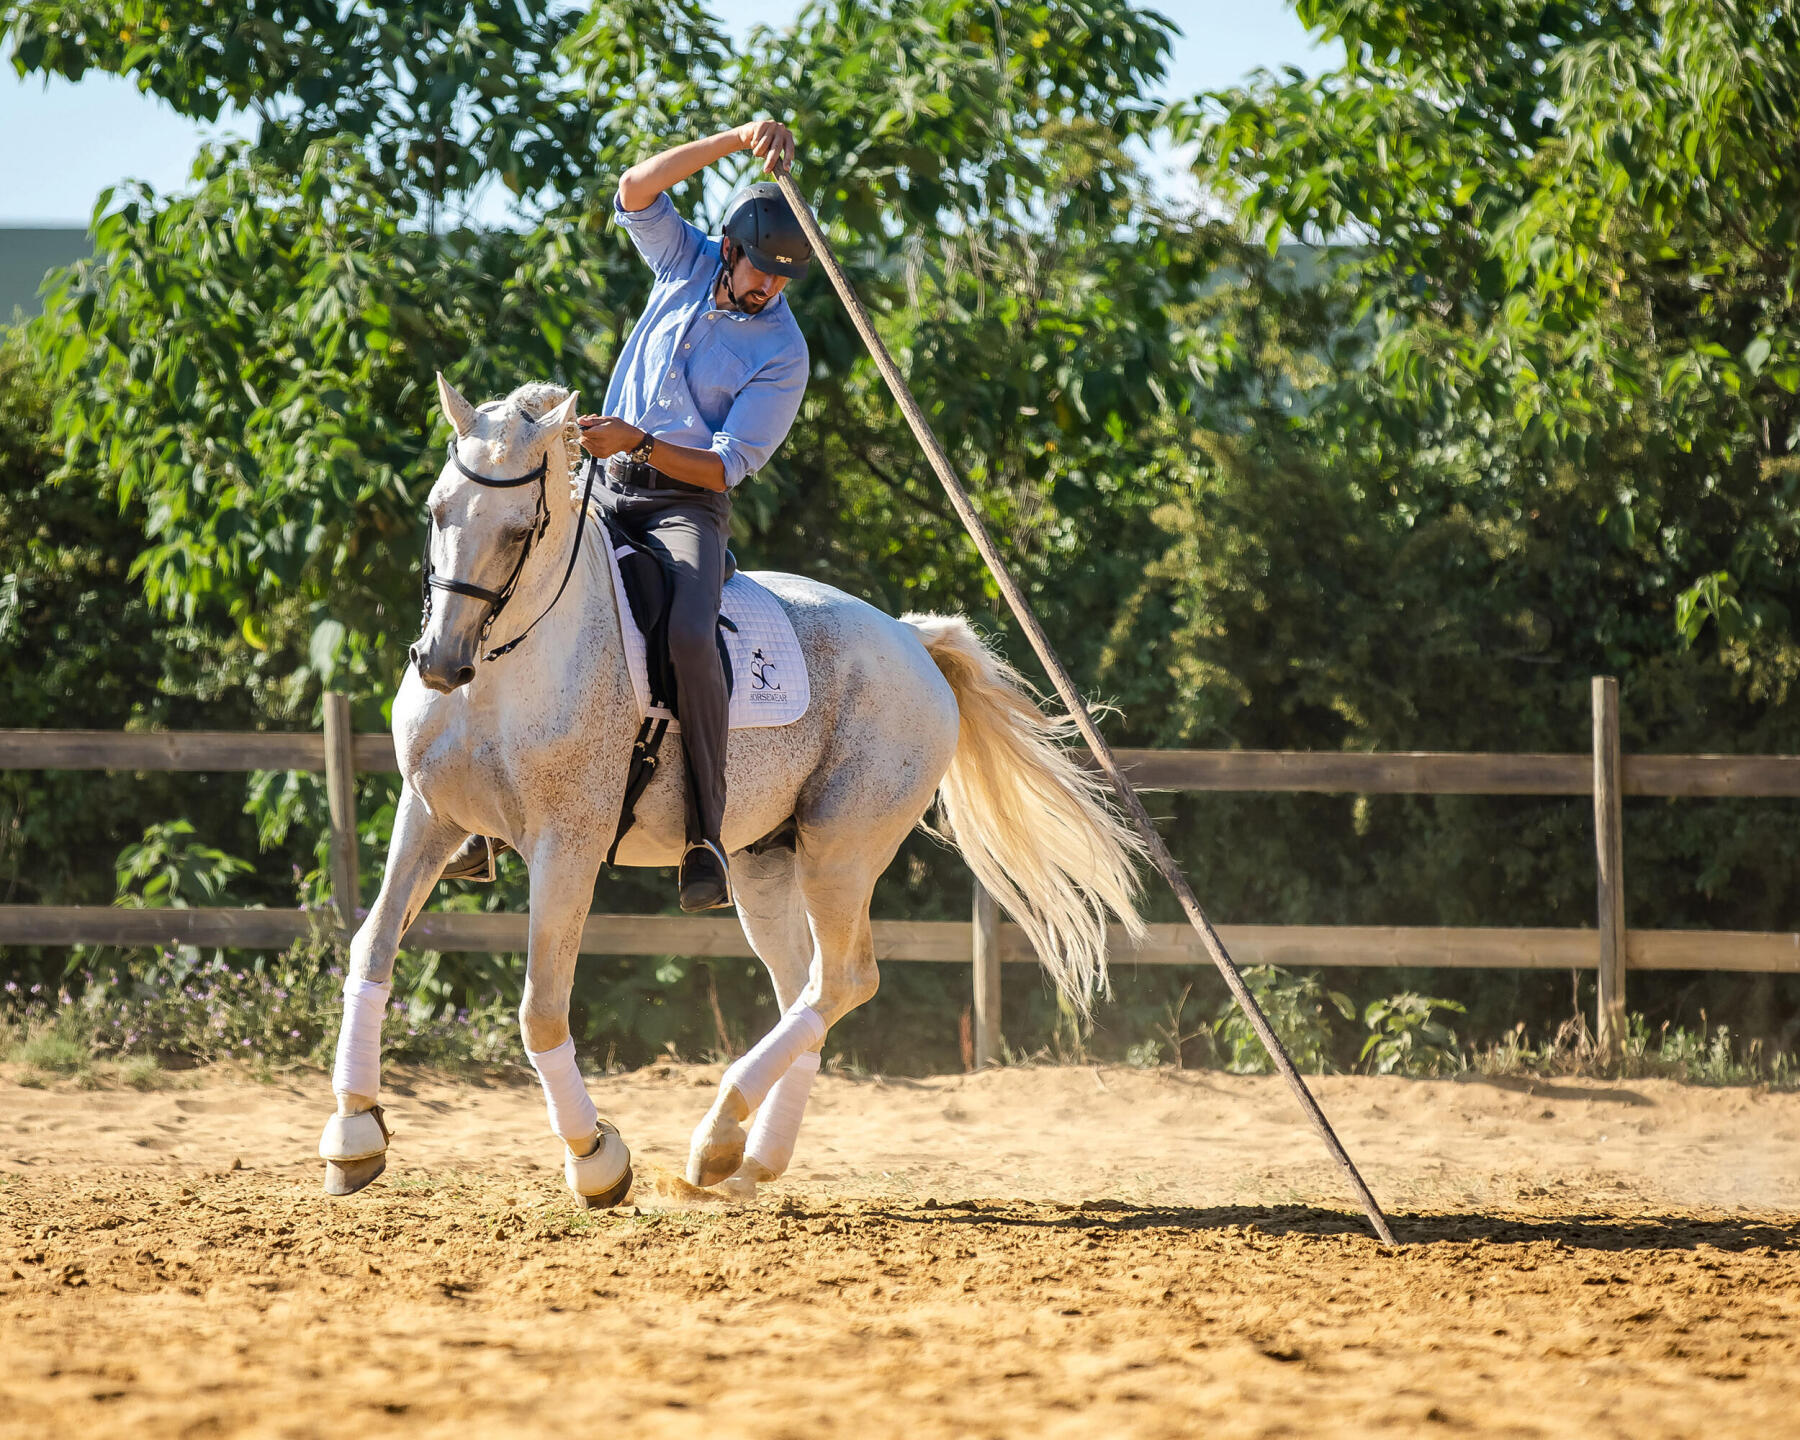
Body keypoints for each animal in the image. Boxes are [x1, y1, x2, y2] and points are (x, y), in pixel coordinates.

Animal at [318, 374, 1144, 1202]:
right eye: (437, 510)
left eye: (520, 531)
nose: (439, 663)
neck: (502, 671)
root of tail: (912, 638)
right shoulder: (428, 816)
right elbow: (372, 948)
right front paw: (354, 1131)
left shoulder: (567, 845)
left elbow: (542, 1011)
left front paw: (596, 1158)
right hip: (762, 863)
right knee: (801, 985)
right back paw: (750, 1157)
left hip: (840, 853)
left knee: (843, 978)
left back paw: (716, 1135)